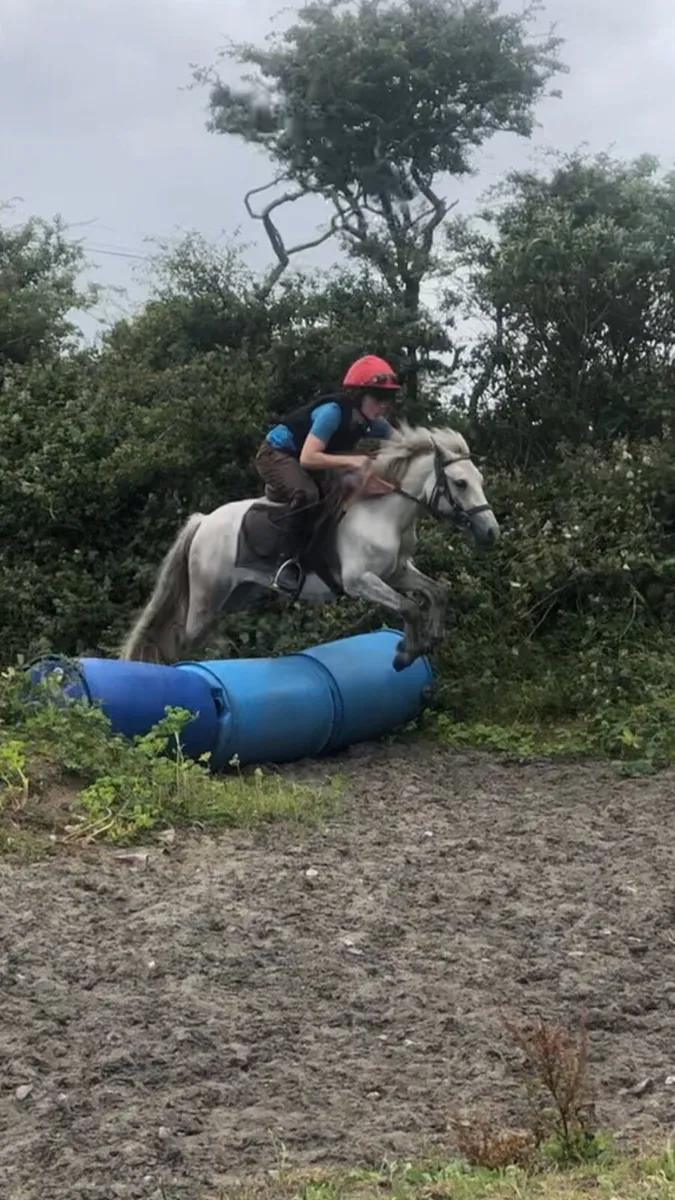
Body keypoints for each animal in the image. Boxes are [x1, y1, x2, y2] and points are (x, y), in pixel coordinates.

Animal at [119, 422, 499, 672]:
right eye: (460, 483)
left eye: (480, 481)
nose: (491, 532)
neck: (384, 511)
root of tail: (203, 521)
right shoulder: (360, 580)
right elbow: (408, 606)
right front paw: (406, 653)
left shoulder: (397, 571)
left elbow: (436, 593)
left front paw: (428, 640)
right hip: (206, 598)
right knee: (178, 639)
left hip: (234, 596)